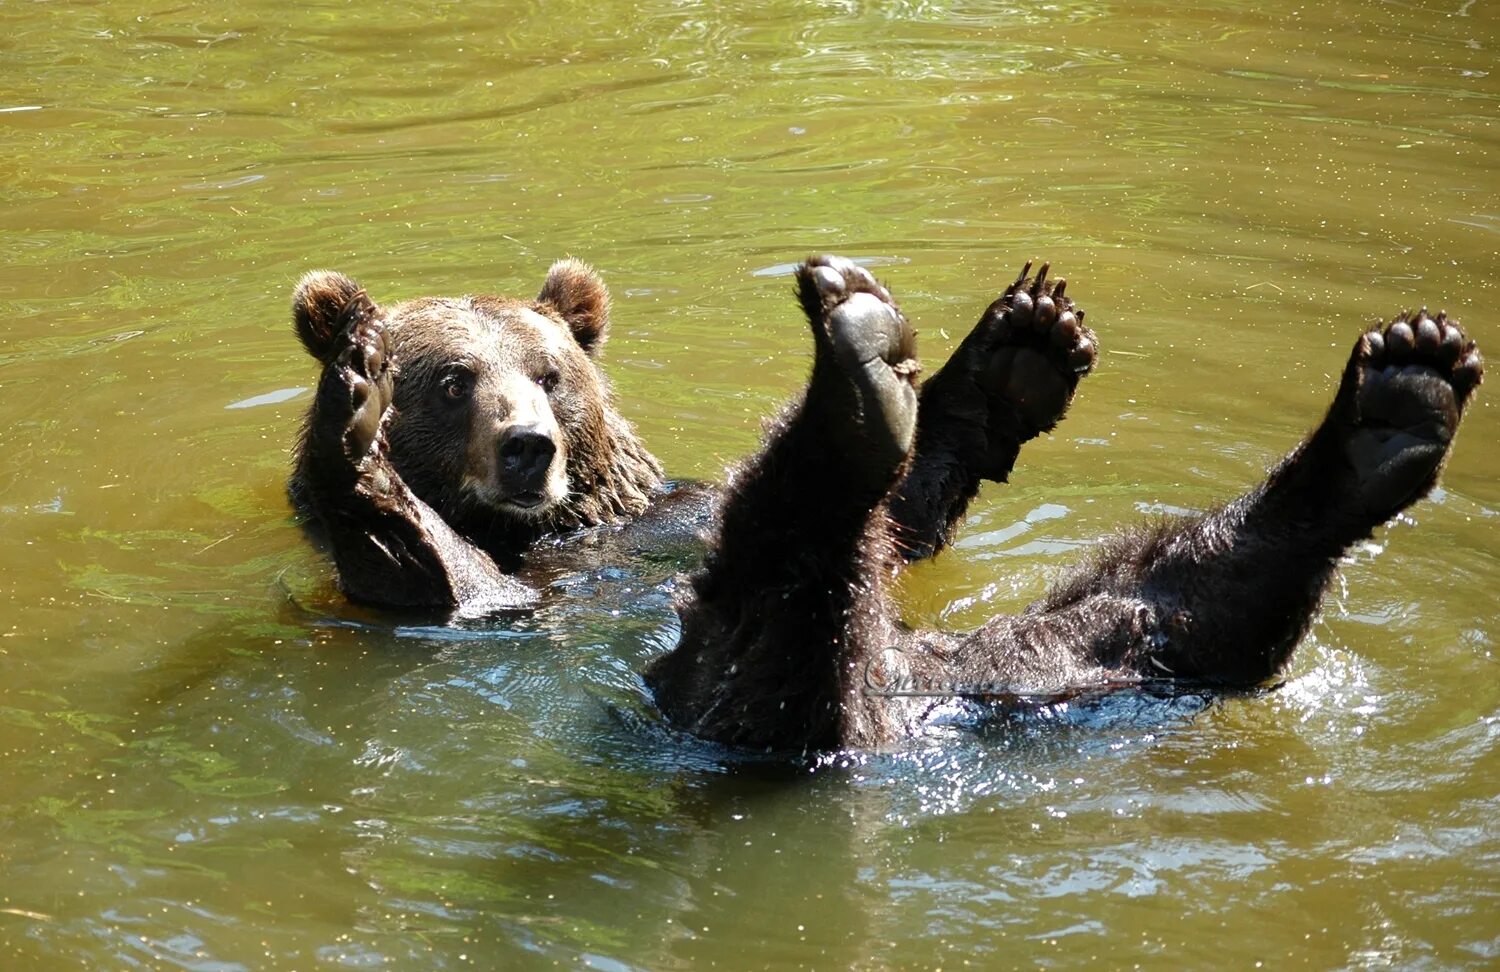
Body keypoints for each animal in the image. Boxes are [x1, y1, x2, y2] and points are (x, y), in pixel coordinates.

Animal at [289, 258, 1092, 606]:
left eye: (549, 375)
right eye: (454, 381)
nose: (529, 448)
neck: (556, 533)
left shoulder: (665, 514)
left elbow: (901, 525)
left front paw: (1026, 343)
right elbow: (457, 584)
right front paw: (359, 408)